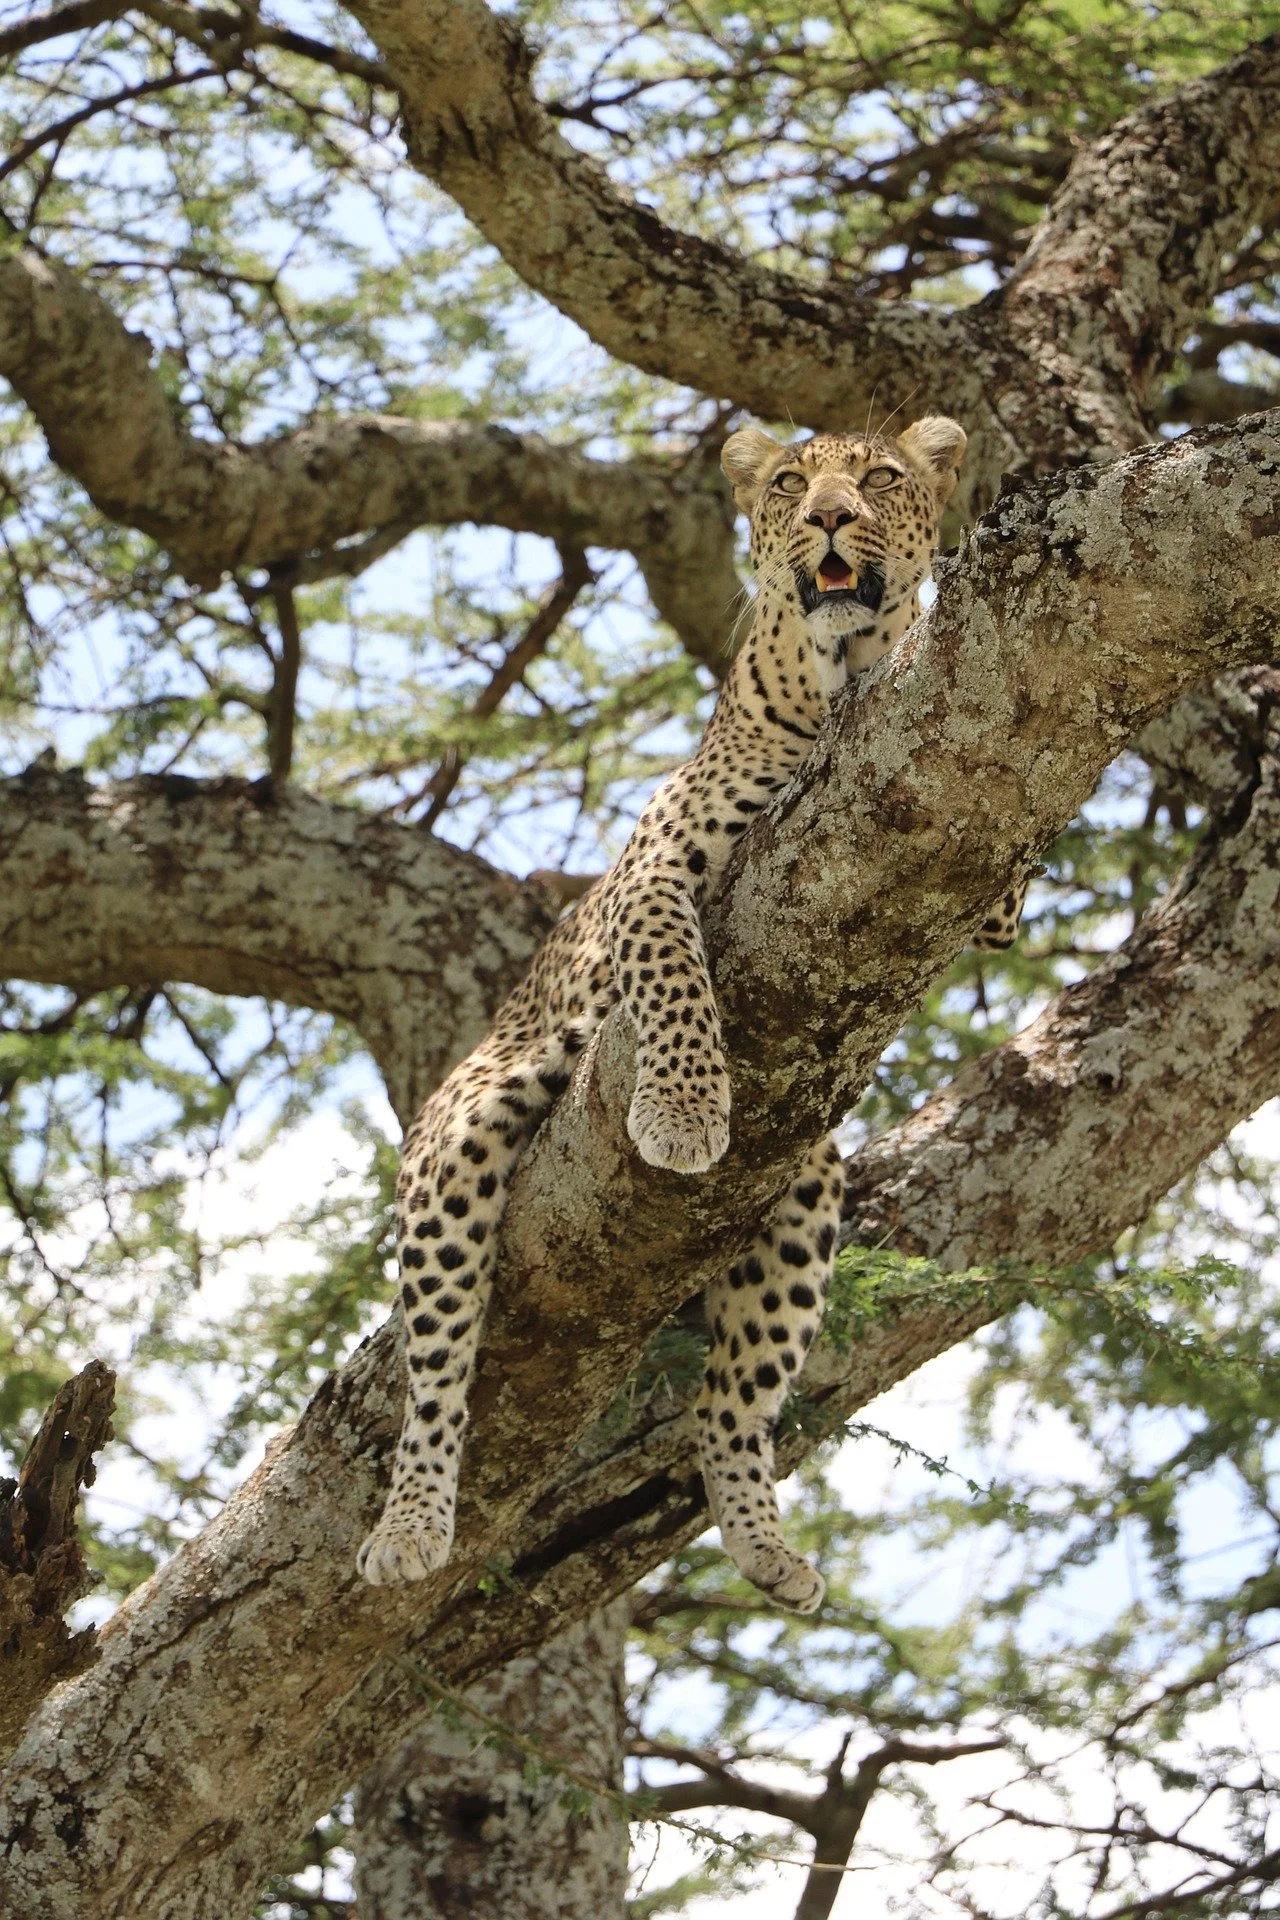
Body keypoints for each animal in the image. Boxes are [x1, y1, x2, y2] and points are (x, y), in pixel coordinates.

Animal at [357, 414, 1028, 1612]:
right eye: (789, 482)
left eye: (879, 477)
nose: (829, 518)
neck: (840, 682)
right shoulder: (653, 871)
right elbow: (672, 977)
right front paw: (678, 1111)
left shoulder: (986, 872)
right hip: (458, 1139)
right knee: (437, 1365)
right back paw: (412, 1524)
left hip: (806, 1188)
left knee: (732, 1398)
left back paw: (762, 1541)